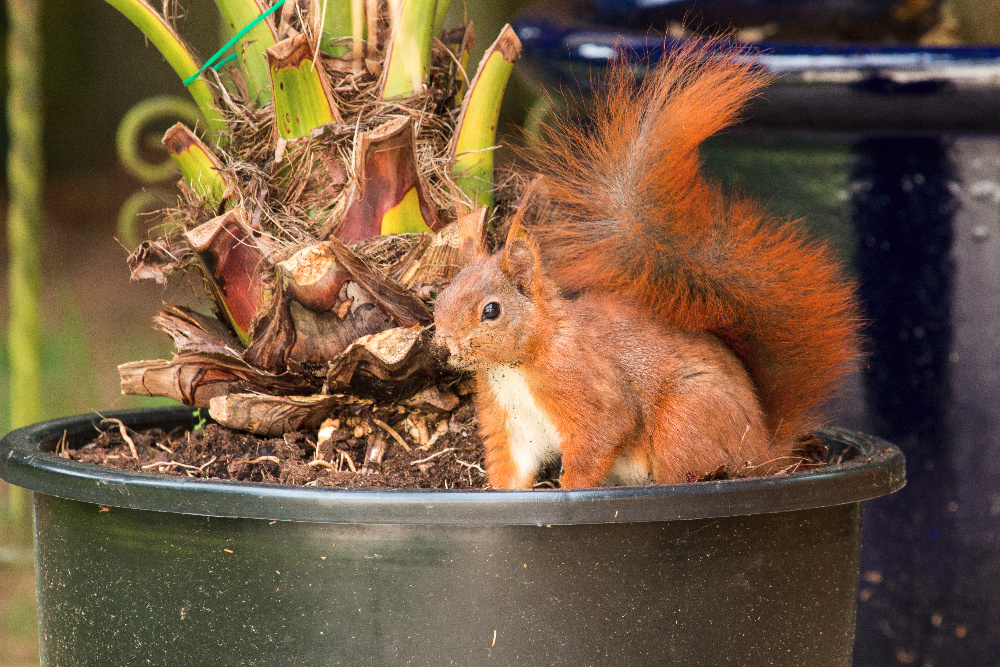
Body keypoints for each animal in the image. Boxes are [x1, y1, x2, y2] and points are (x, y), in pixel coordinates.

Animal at [434, 41, 864, 490]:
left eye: (491, 311)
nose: (442, 346)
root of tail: (764, 449)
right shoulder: (511, 423)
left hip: (684, 421)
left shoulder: (590, 390)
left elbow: (601, 437)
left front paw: (570, 490)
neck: (518, 365)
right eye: (439, 298)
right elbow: (512, 468)